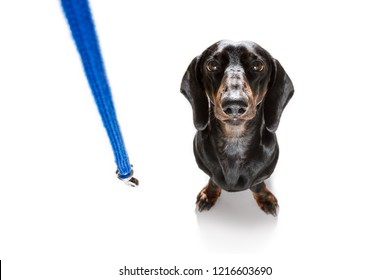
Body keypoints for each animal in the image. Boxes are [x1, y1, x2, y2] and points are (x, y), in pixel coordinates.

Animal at [181, 40, 294, 215]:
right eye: (212, 65)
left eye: (257, 66)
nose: (234, 104)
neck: (234, 141)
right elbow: (213, 181)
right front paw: (209, 194)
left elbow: (257, 185)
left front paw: (265, 199)